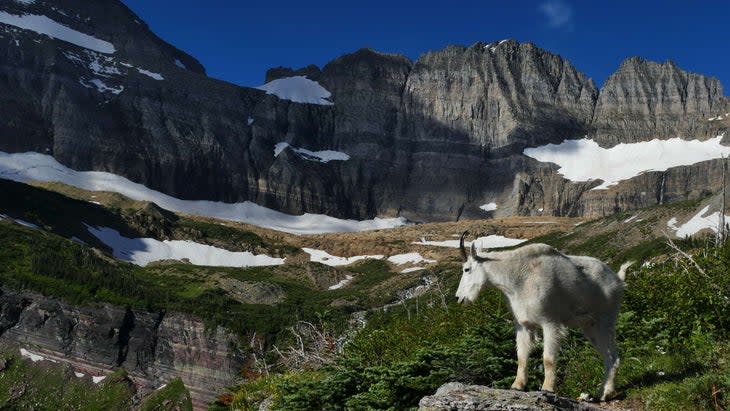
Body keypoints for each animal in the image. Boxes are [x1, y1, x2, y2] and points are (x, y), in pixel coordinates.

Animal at [458, 233, 628, 400]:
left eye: (466, 269)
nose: (459, 298)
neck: (517, 279)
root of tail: (618, 281)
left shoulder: (550, 323)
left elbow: (548, 358)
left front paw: (548, 388)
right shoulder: (523, 325)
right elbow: (522, 357)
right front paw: (517, 386)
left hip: (606, 320)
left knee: (613, 357)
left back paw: (606, 393)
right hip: (589, 326)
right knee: (607, 357)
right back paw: (601, 393)